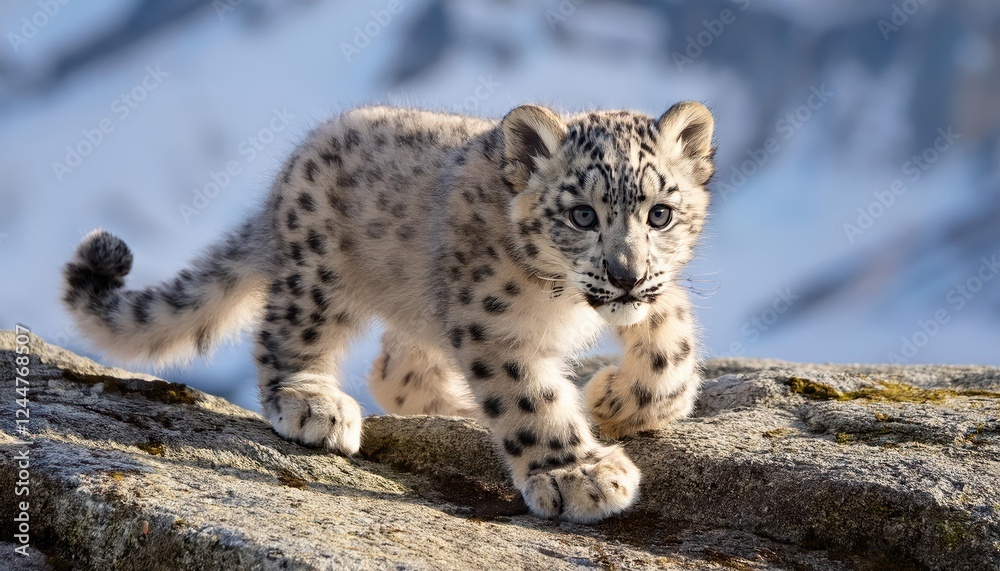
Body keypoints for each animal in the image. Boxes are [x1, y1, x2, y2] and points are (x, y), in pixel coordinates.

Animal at [61, 101, 715, 523]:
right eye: (582, 214)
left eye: (660, 214)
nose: (626, 276)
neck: (563, 299)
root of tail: (283, 179)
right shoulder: (493, 326)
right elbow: (530, 399)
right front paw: (577, 474)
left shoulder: (660, 292)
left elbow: (676, 340)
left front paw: (617, 399)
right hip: (320, 279)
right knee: (286, 339)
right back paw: (312, 402)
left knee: (396, 371)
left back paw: (456, 408)